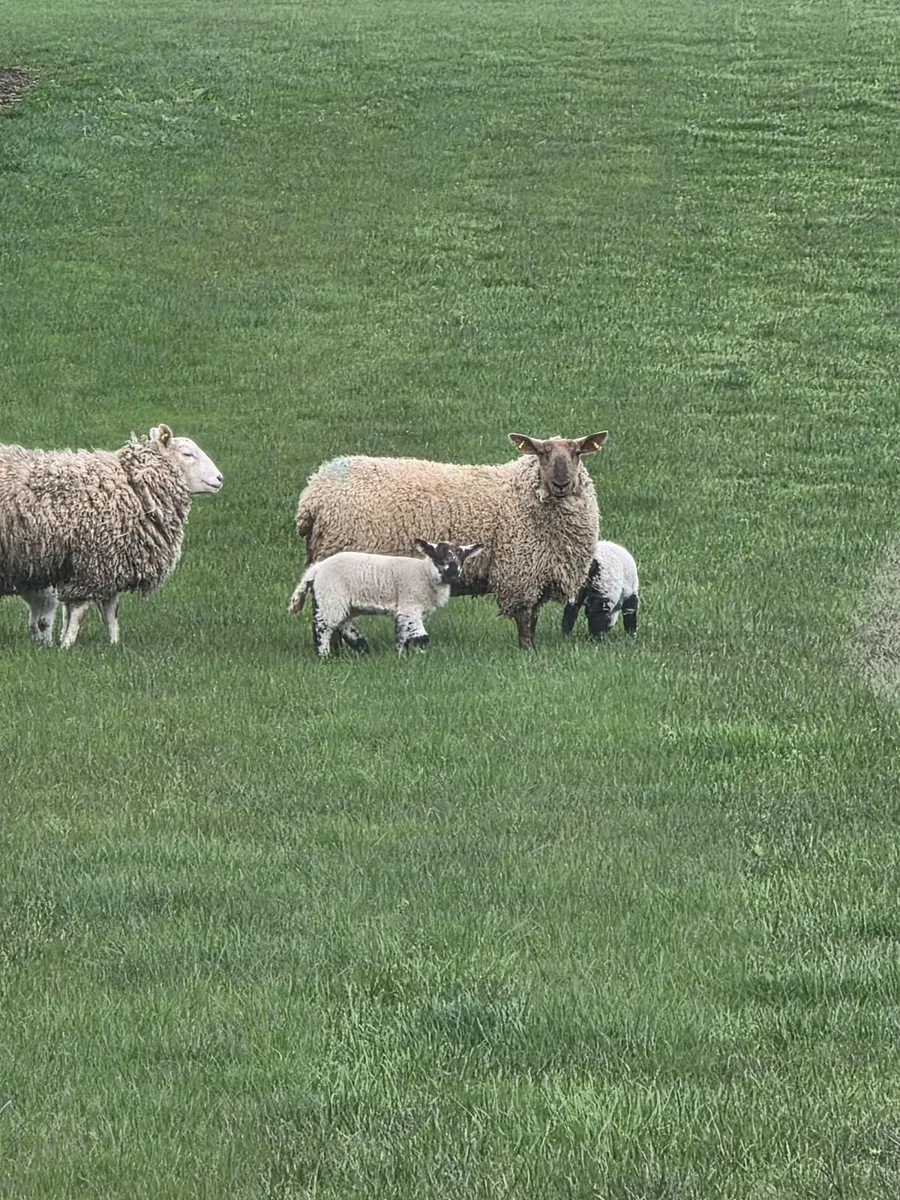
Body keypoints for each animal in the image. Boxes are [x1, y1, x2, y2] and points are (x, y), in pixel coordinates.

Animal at [0, 425, 223, 647]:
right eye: (187, 454)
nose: (220, 479)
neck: (131, 486)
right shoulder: (90, 566)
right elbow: (79, 612)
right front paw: (67, 644)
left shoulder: (109, 565)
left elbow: (109, 612)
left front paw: (113, 643)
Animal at [288, 540, 483, 656]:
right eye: (440, 560)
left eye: (460, 560)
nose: (453, 576)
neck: (425, 574)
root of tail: (316, 569)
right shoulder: (410, 604)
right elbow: (421, 637)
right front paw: (421, 657)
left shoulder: (403, 611)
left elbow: (402, 635)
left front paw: (400, 655)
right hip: (330, 596)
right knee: (322, 627)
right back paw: (324, 655)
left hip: (339, 602)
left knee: (343, 624)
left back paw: (362, 646)